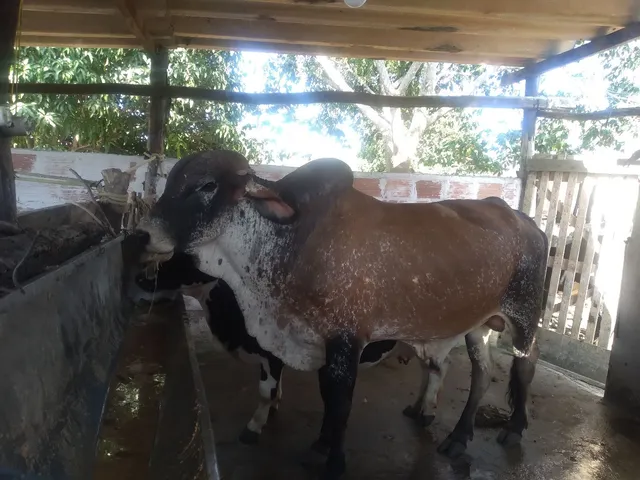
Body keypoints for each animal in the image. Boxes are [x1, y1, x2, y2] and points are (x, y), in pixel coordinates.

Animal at [129, 251, 409, 444]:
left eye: (183, 258)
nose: (139, 278)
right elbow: (275, 387)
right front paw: (274, 405)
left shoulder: (270, 354)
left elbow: (265, 391)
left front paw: (253, 428)